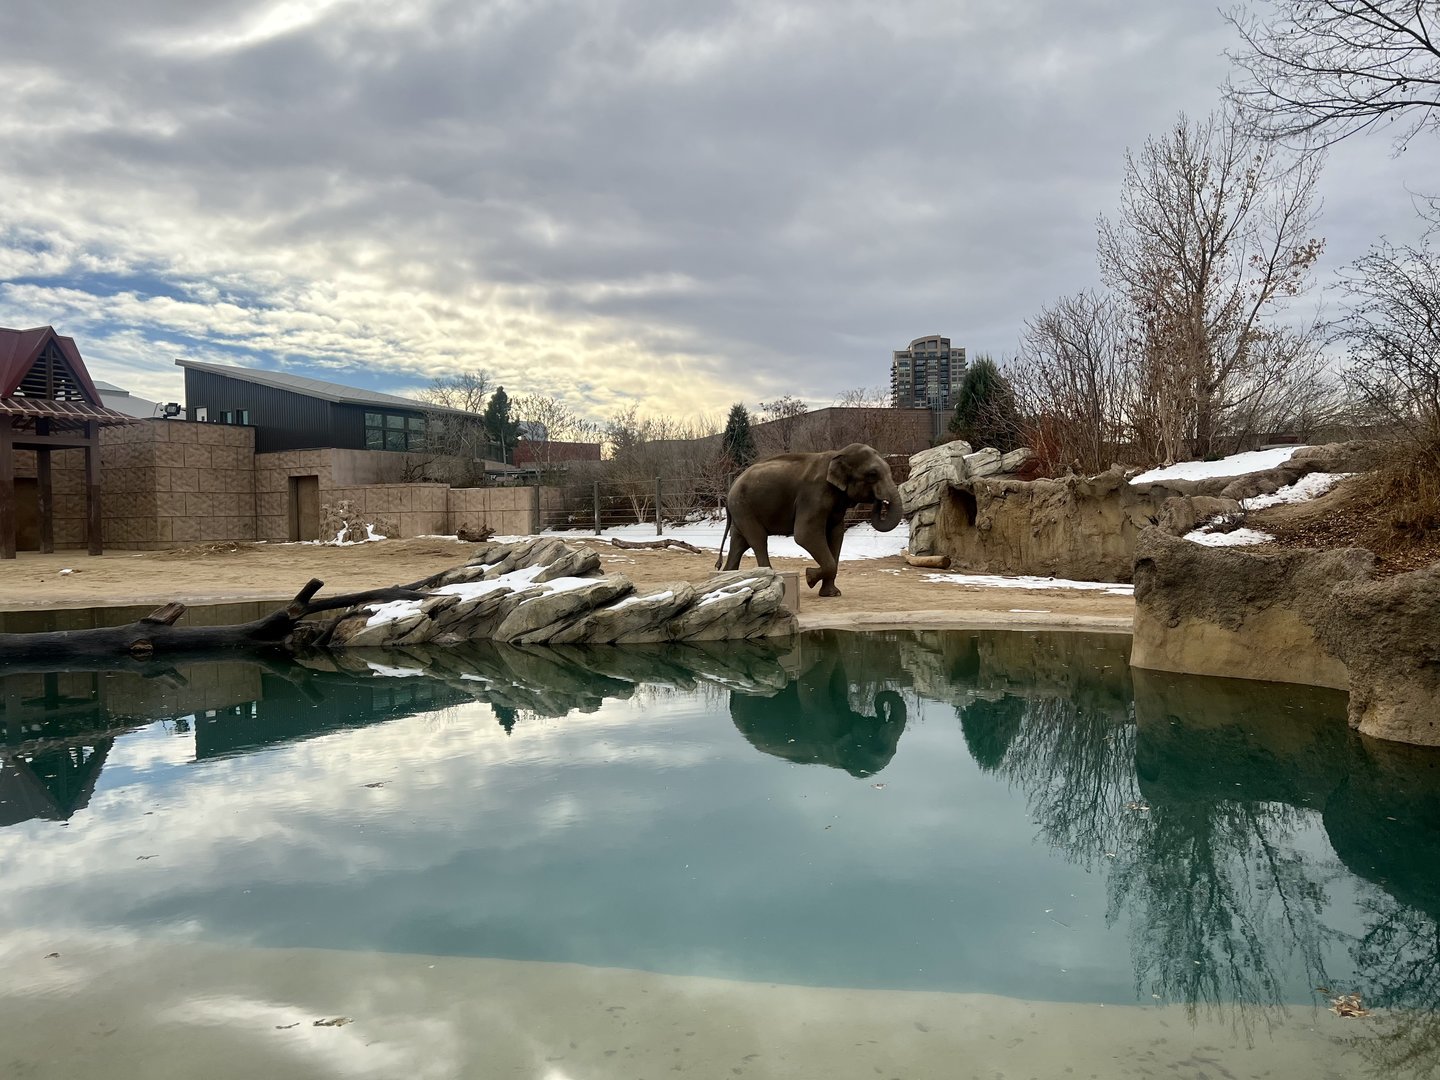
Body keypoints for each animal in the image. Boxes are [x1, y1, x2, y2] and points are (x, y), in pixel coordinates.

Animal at [716, 443, 903, 597]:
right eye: (872, 474)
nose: (881, 501)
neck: (838, 454)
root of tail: (730, 488)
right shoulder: (813, 496)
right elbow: (805, 535)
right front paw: (809, 577)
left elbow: (836, 536)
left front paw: (831, 594)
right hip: (744, 508)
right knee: (758, 540)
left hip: (740, 511)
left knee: (740, 543)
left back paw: (727, 577)